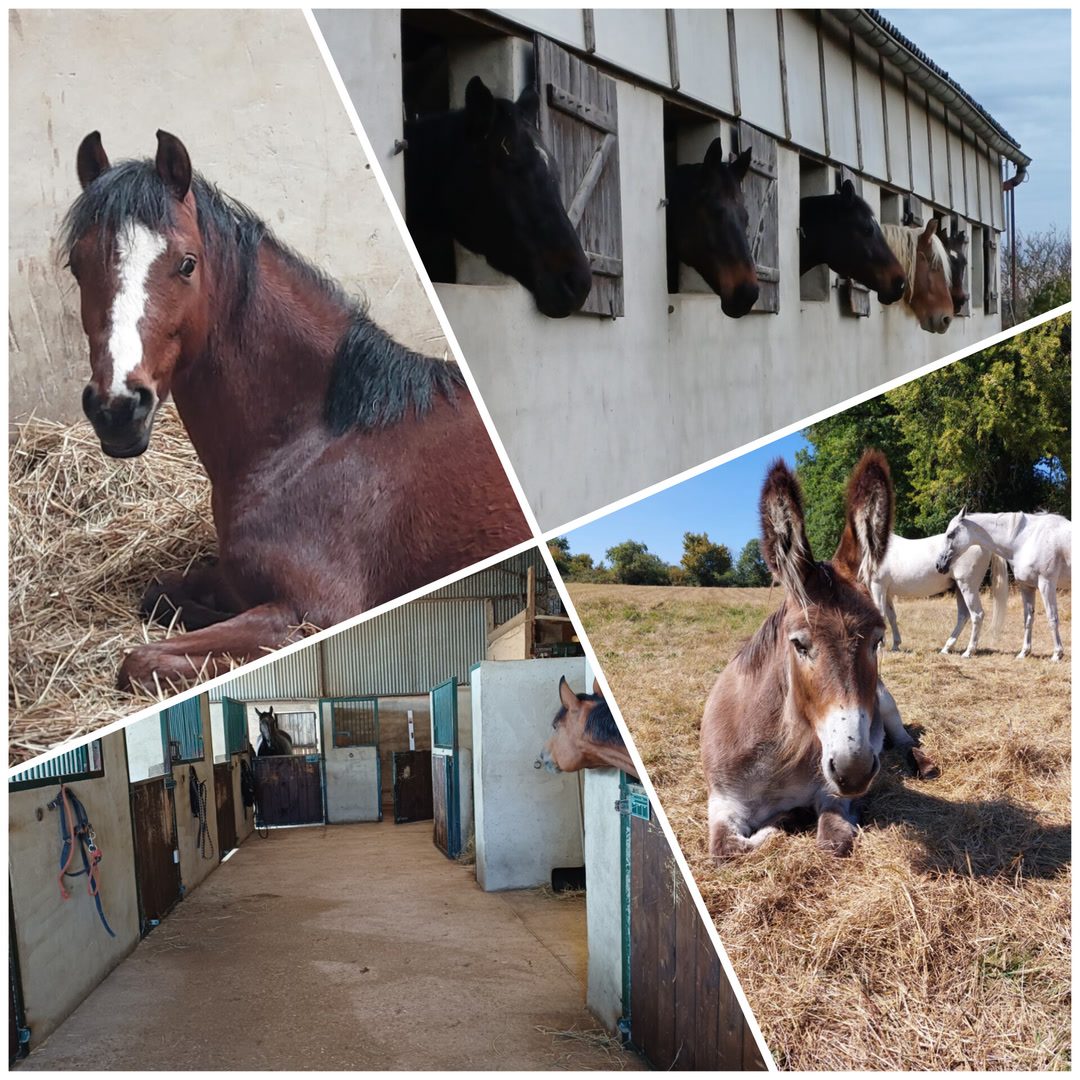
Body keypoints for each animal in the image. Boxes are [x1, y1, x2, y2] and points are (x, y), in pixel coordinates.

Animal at [64, 130, 530, 690]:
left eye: (186, 263)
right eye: (76, 265)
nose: (117, 407)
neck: (313, 441)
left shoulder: (314, 610)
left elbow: (144, 659)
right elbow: (157, 594)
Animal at [700, 451, 935, 859]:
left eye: (877, 640)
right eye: (799, 644)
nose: (854, 771)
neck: (777, 757)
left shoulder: (833, 794)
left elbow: (830, 842)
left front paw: (791, 818)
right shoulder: (723, 802)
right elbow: (727, 848)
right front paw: (786, 818)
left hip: (885, 703)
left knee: (905, 739)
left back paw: (922, 763)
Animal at [870, 533, 1008, 657]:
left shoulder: (877, 586)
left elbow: (881, 615)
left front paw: (878, 648)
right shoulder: (886, 592)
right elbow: (891, 617)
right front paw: (895, 645)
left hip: (968, 587)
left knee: (977, 615)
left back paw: (968, 652)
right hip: (959, 588)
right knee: (963, 616)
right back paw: (946, 648)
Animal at [936, 511, 1072, 661]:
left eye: (950, 534)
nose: (939, 565)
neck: (1027, 540)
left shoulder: (1046, 584)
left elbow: (1052, 617)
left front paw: (1057, 654)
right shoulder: (1027, 586)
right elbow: (1028, 619)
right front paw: (1024, 653)